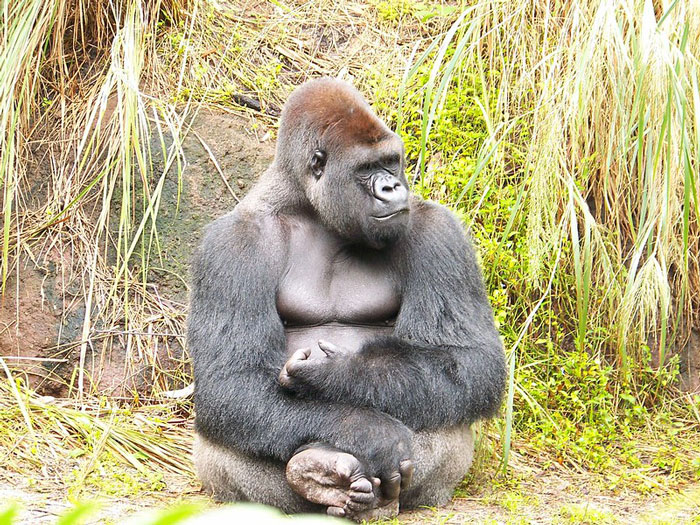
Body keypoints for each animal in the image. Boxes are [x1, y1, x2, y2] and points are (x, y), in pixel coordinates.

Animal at [187, 77, 506, 520]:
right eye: (366, 169)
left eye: (391, 162)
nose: (392, 187)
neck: (311, 209)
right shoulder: (233, 244)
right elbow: (231, 378)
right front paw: (369, 432)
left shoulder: (438, 232)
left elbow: (470, 359)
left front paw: (337, 374)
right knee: (225, 442)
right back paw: (320, 474)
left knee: (446, 415)